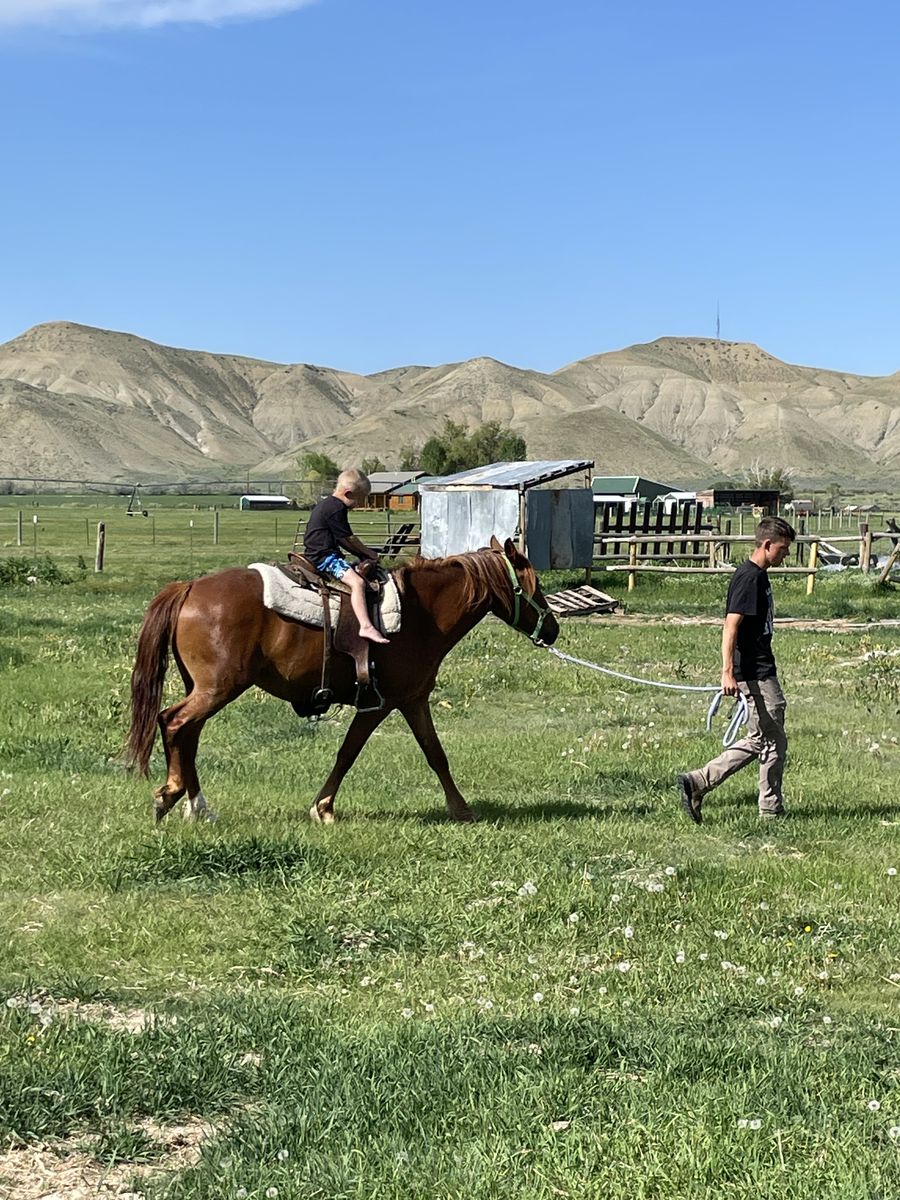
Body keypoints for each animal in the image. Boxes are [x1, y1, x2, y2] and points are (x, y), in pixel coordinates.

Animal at [126, 536, 559, 825]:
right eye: (535, 586)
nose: (553, 629)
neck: (421, 615)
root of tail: (190, 588)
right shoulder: (381, 703)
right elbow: (349, 752)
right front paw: (323, 808)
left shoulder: (413, 700)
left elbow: (436, 754)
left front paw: (461, 809)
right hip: (217, 688)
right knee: (174, 722)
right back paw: (170, 796)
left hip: (205, 689)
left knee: (189, 734)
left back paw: (197, 807)